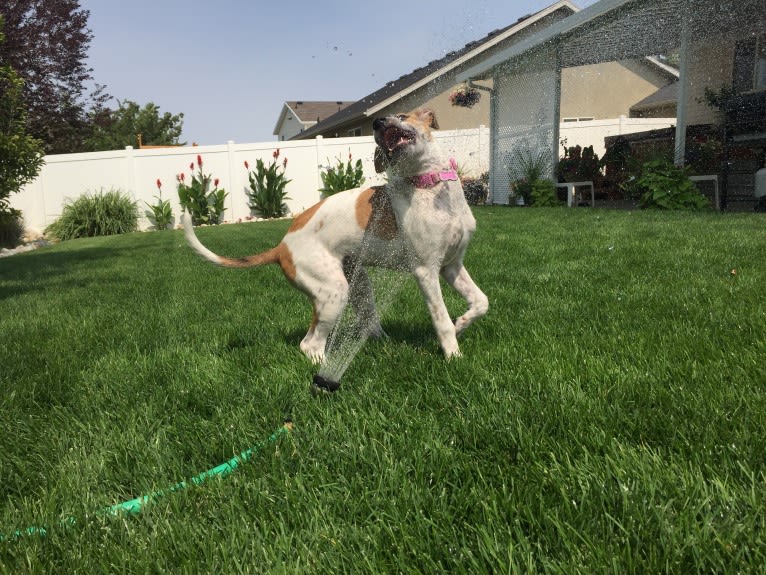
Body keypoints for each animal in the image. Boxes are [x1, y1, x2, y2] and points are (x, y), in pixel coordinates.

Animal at [183, 107, 488, 362]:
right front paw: (453, 355)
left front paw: (461, 323)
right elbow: (441, 320)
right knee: (309, 344)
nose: (376, 122)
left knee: (366, 322)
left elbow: (481, 302)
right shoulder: (426, 271)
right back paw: (324, 369)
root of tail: (282, 246)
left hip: (358, 284)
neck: (429, 186)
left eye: (402, 115)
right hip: (333, 292)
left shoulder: (451, 265)